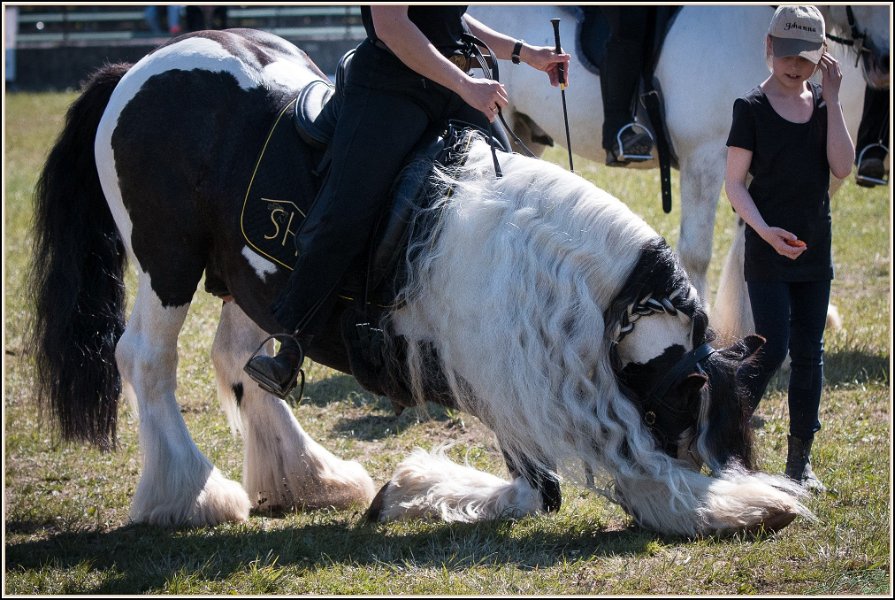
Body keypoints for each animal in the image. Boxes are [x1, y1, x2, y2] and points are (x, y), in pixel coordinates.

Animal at [29, 28, 813, 538]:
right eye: (685, 403)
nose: (704, 464)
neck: (537, 264)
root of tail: (137, 66)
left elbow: (540, 490)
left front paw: (402, 491)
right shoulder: (491, 385)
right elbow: (541, 493)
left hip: (250, 283)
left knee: (240, 361)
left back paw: (307, 478)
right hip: (168, 263)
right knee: (146, 360)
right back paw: (189, 495)